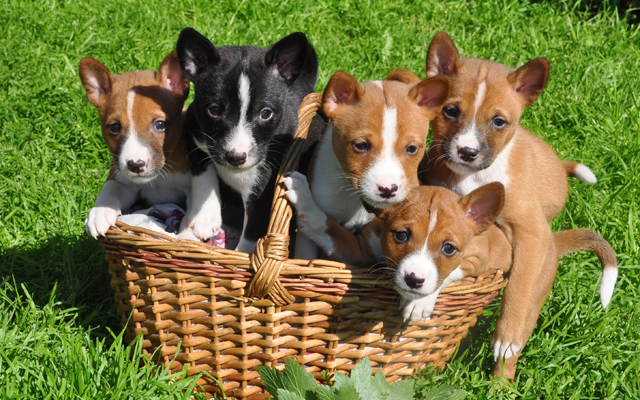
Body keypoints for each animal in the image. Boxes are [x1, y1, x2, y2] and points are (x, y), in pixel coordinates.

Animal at [80, 50, 190, 238]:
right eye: (114, 127)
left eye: (160, 124)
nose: (136, 164)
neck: (159, 178)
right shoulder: (124, 182)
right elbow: (111, 187)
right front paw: (98, 213)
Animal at [175, 28, 318, 252]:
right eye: (214, 110)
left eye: (266, 113)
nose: (236, 156)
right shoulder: (193, 130)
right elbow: (202, 169)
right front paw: (204, 217)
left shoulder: (262, 191)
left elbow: (250, 237)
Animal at [280, 71, 450, 266]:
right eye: (361, 145)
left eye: (412, 148)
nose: (388, 190)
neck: (356, 200)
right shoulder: (309, 237)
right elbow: (305, 254)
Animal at [418, 33, 616, 378]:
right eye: (450, 111)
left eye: (499, 121)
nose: (467, 151)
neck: (473, 177)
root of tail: (556, 244)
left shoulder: (530, 232)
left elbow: (516, 288)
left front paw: (505, 335)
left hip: (539, 284)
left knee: (518, 337)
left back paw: (501, 378)